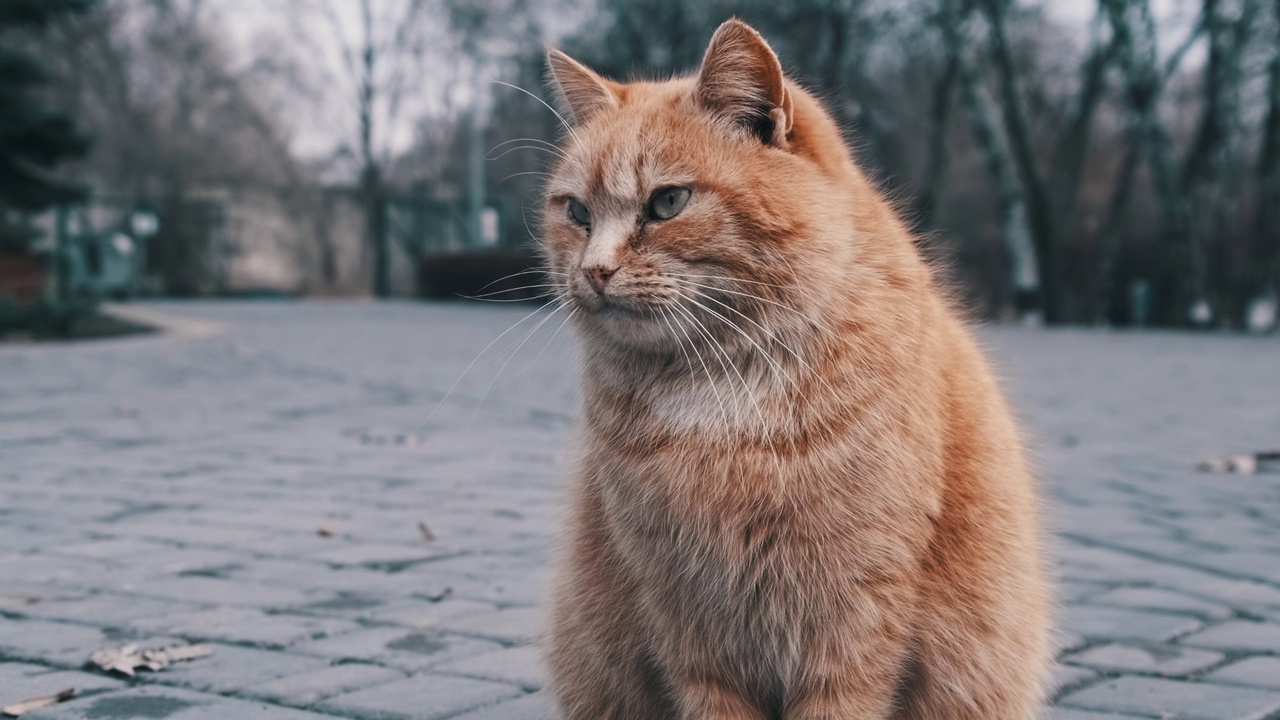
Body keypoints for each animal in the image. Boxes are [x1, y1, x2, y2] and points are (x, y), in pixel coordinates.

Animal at [540, 19, 1049, 712]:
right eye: (577, 214)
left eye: (668, 202)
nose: (593, 270)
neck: (716, 391)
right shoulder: (686, 623)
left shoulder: (853, 619)